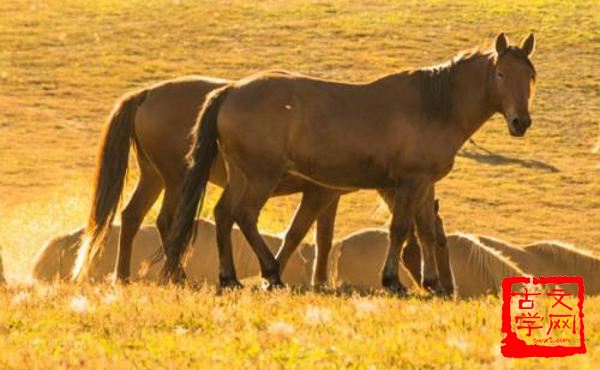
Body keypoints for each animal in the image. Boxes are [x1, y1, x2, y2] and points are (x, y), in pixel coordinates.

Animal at [163, 33, 536, 296]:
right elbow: (400, 229)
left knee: (224, 214)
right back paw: (270, 272)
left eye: (530, 76)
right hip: (260, 177)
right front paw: (393, 280)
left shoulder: (424, 183)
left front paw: (430, 281)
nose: (521, 122)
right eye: (501, 73)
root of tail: (230, 91)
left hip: (243, 175)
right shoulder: (408, 183)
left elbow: (427, 231)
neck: (434, 106)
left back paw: (230, 277)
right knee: (244, 215)